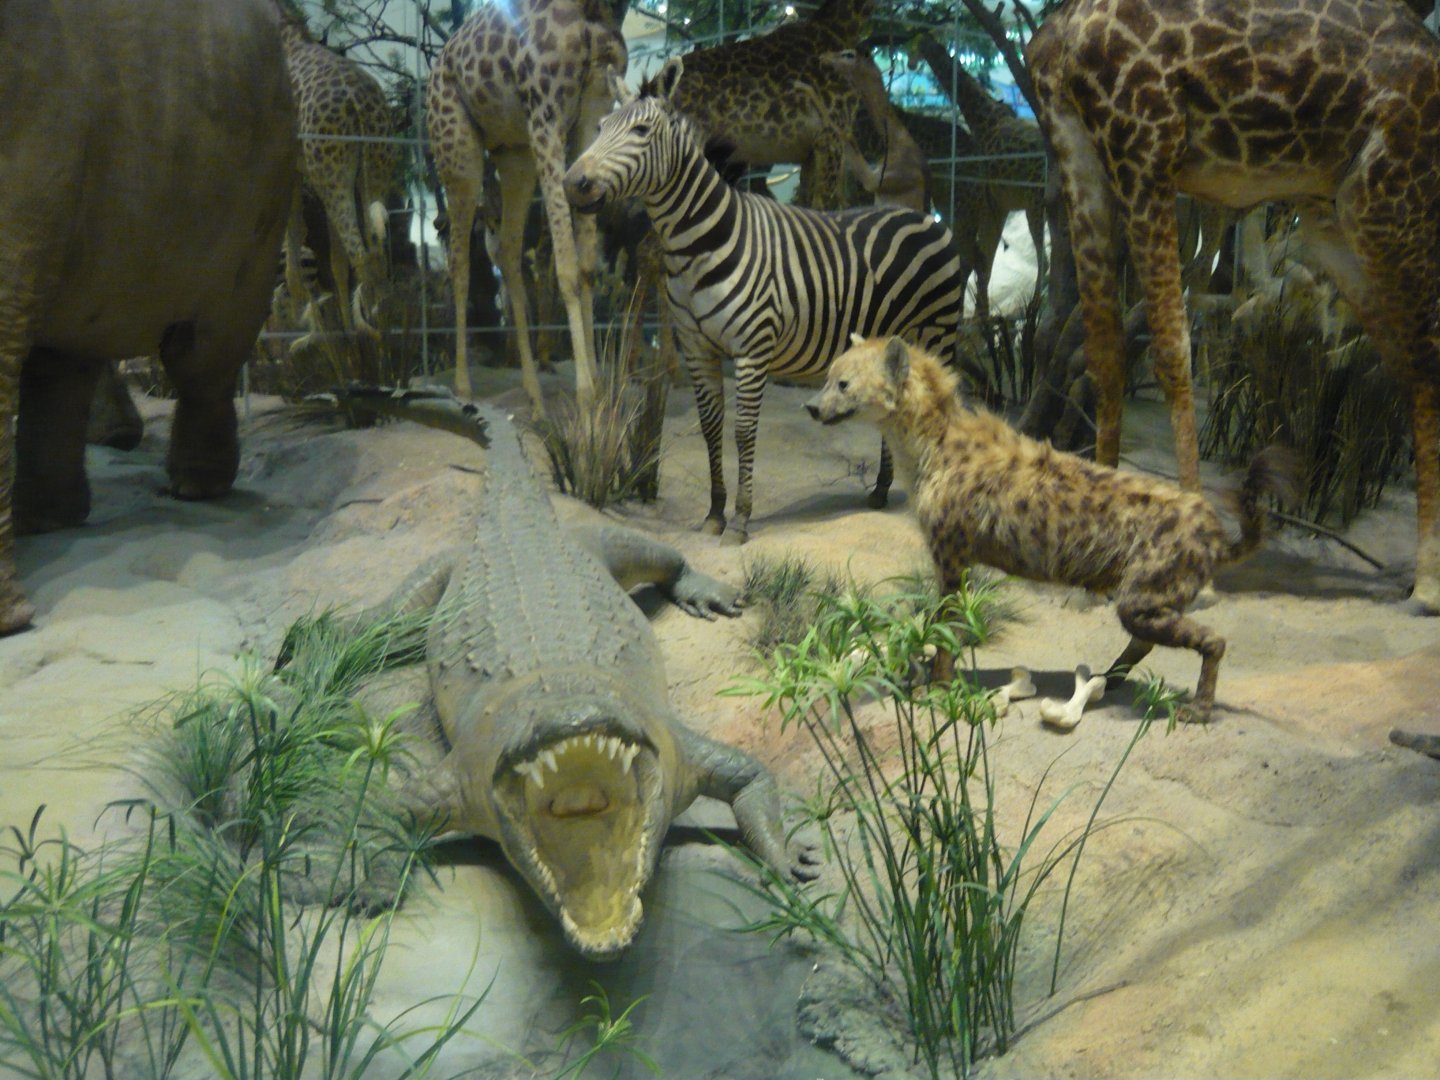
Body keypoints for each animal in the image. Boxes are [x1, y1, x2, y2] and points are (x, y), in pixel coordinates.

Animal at [563, 56, 961, 543]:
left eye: (640, 131)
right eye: (600, 127)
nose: (573, 183)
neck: (698, 243)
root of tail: (925, 216)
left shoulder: (752, 349)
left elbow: (743, 431)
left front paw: (740, 519)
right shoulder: (697, 349)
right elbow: (711, 429)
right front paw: (714, 514)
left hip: (939, 332)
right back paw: (883, 490)